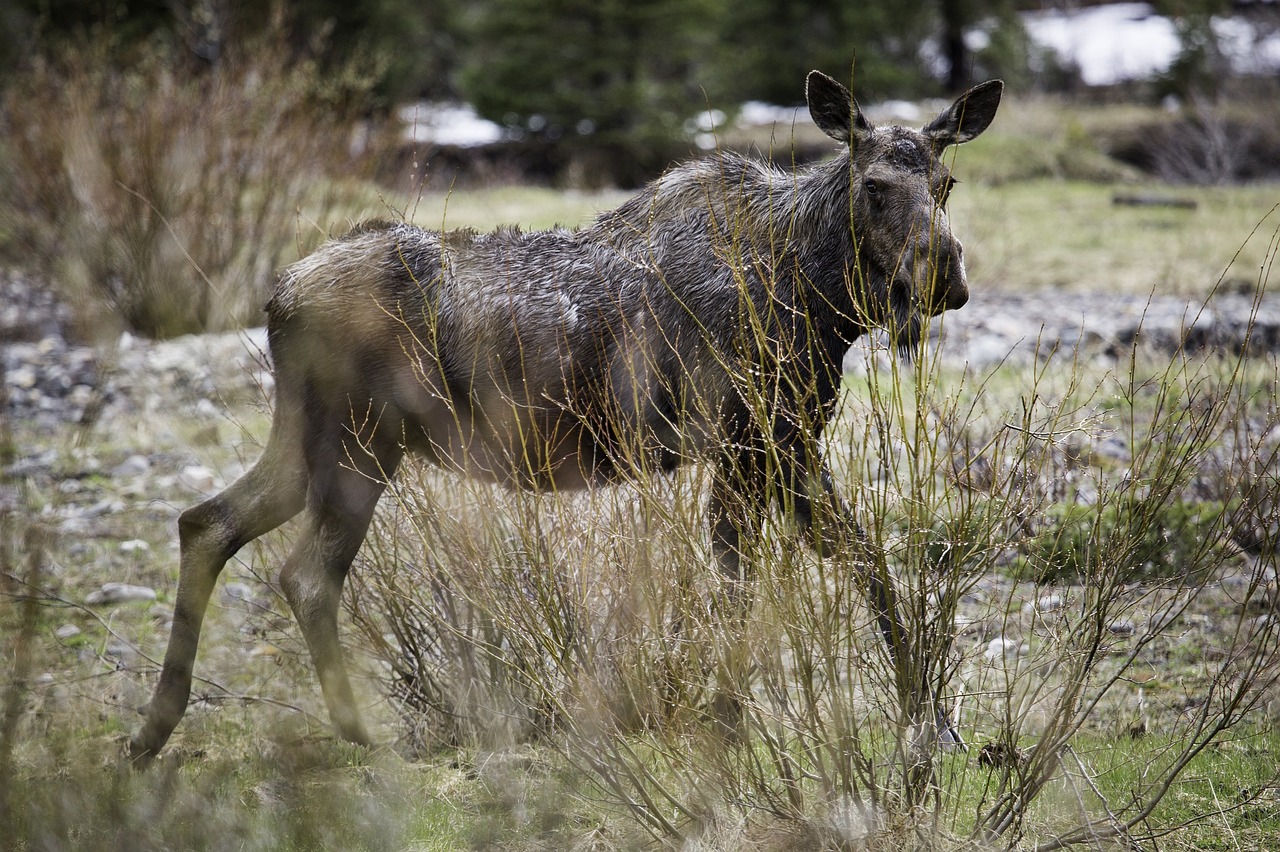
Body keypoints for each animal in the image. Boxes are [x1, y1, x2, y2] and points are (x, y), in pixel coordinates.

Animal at [132, 71, 1008, 757]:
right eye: (875, 187)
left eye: (946, 186)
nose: (944, 278)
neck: (820, 298)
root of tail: (276, 298)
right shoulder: (742, 441)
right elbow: (740, 586)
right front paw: (728, 723)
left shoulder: (783, 444)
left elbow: (866, 564)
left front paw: (930, 726)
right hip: (362, 446)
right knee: (305, 574)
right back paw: (355, 735)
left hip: (308, 440)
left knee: (205, 523)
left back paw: (153, 731)